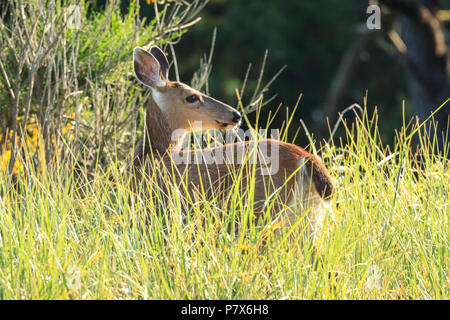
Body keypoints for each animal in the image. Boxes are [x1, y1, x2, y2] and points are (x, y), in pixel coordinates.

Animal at [130, 45, 334, 242]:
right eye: (191, 97)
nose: (235, 115)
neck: (152, 157)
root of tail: (306, 158)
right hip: (309, 216)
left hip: (262, 207)